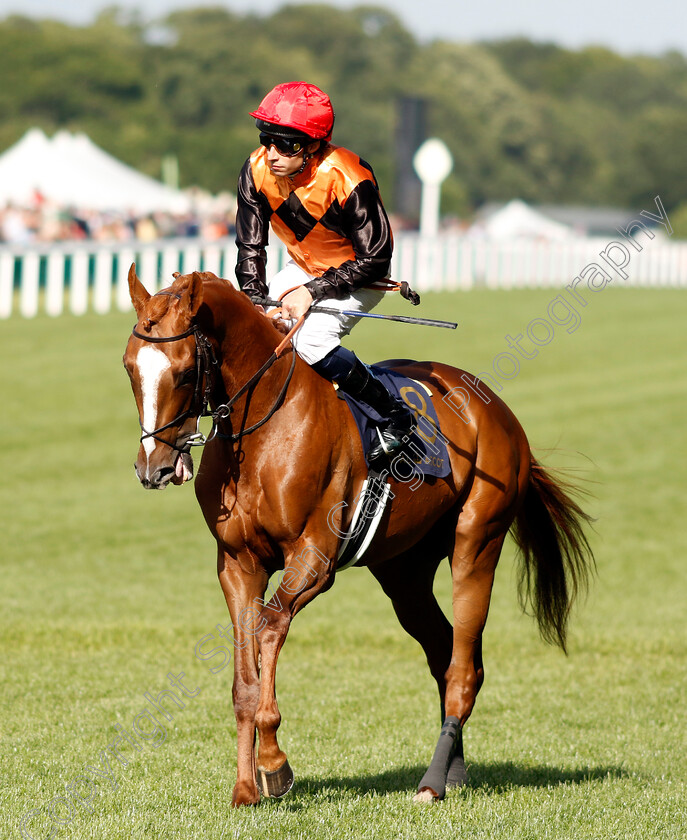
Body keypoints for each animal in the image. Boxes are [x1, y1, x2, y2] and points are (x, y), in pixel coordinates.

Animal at [121, 266, 592, 804]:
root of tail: (499, 413)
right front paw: (245, 787)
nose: (154, 468)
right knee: (445, 652)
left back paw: (432, 783)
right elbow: (244, 673)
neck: (264, 428)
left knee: (464, 667)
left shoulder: (313, 559)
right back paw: (453, 772)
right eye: (130, 368)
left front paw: (274, 763)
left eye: (182, 372)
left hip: (477, 545)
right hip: (404, 571)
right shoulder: (238, 563)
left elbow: (269, 628)